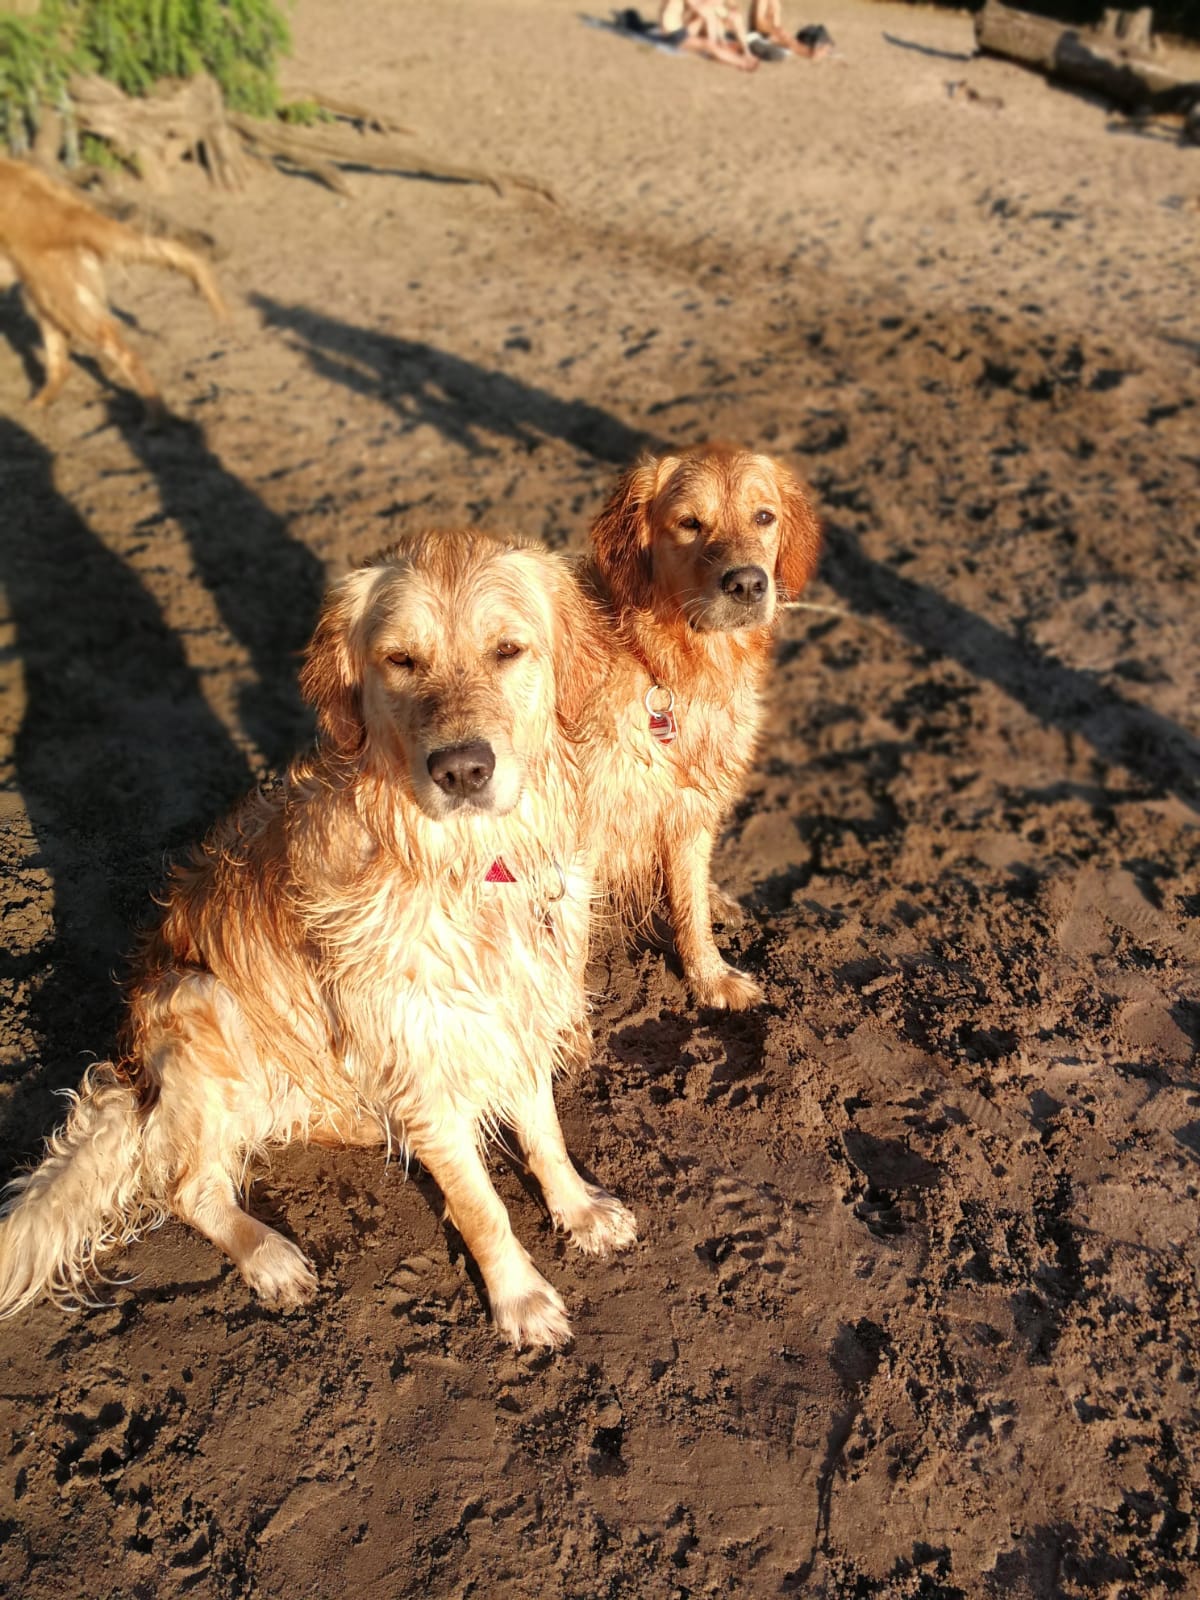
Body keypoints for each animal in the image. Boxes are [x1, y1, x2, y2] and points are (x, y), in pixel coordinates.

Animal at [0, 157, 226, 416]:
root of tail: (67, 211)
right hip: (46, 291)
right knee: (63, 362)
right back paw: (39, 402)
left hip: (56, 294)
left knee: (122, 351)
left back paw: (155, 415)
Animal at [0, 529, 635, 1348]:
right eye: (401, 660)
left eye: (508, 650)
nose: (462, 769)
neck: (468, 864)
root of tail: (136, 1082)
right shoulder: (420, 1050)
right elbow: (480, 1205)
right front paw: (520, 1299)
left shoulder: (509, 1009)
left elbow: (545, 1133)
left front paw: (580, 1211)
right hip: (199, 999)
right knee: (184, 1184)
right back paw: (268, 1255)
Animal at [580, 445, 822, 1010]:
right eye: (689, 523)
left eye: (764, 517)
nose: (748, 583)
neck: (667, 668)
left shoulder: (690, 807)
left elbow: (689, 904)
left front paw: (710, 977)